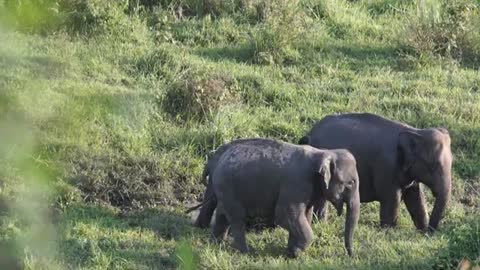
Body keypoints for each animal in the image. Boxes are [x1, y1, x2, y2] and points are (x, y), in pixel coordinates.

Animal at [195, 138, 360, 258]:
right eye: (350, 183)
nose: (351, 256)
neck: (324, 153)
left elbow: (303, 216)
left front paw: (291, 253)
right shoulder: (296, 184)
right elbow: (285, 215)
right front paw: (297, 253)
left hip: (224, 191)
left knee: (222, 214)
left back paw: (216, 244)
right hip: (229, 189)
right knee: (237, 218)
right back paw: (246, 251)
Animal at [300, 113, 454, 231]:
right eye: (432, 166)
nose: (430, 232)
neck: (415, 131)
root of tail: (309, 135)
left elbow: (415, 197)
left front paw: (421, 231)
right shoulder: (387, 168)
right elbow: (392, 199)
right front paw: (389, 232)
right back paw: (320, 225)